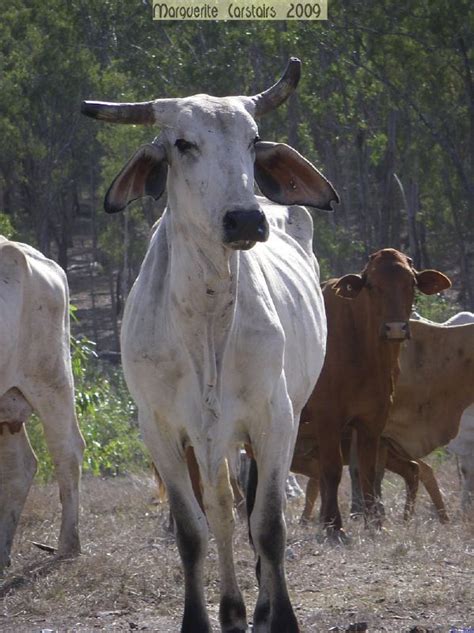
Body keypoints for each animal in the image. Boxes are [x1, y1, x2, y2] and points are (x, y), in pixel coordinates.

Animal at [81, 56, 336, 628]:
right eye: (182, 143)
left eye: (253, 138)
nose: (246, 218)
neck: (205, 320)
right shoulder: (160, 429)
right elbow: (193, 531)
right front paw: (201, 618)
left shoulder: (275, 418)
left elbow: (269, 526)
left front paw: (281, 617)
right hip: (210, 438)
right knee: (222, 506)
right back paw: (234, 609)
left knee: (249, 509)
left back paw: (258, 607)